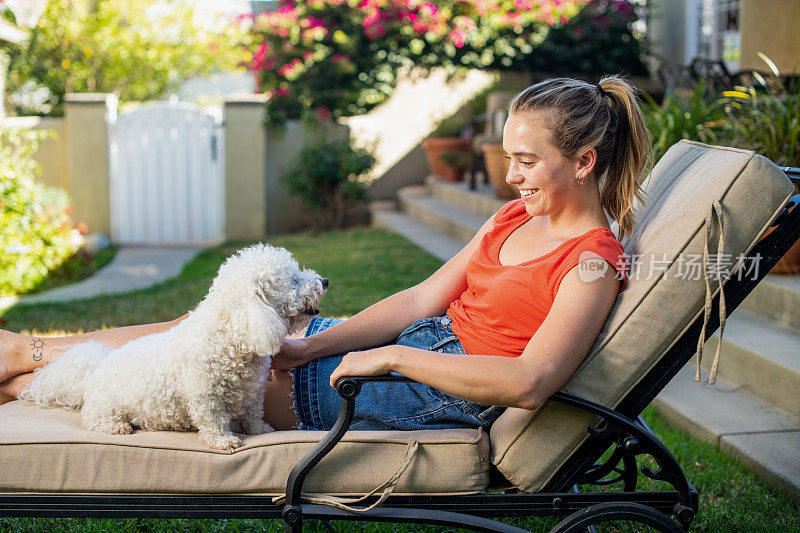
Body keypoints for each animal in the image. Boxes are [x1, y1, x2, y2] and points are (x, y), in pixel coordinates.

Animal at [18, 244, 326, 448]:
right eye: (293, 279)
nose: (324, 280)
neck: (231, 337)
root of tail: (97, 365)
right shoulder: (204, 394)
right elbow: (213, 419)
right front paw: (224, 441)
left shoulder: (253, 393)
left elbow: (253, 414)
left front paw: (261, 430)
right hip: (105, 407)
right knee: (94, 421)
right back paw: (116, 427)